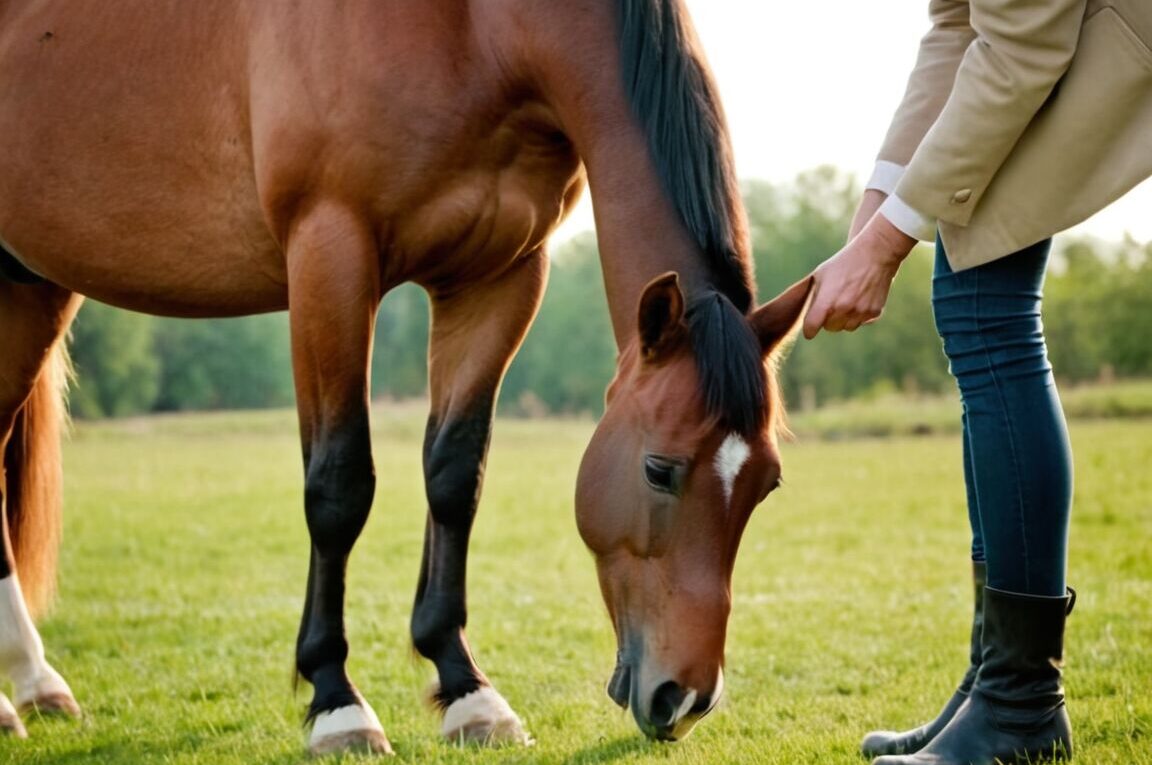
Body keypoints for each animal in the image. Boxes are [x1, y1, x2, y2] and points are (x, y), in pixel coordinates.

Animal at [0, 0, 811, 753]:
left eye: (768, 485)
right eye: (658, 469)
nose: (685, 697)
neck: (475, 31)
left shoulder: (498, 278)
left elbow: (455, 476)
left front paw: (467, 690)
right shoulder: (330, 255)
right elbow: (338, 486)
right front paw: (337, 701)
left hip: (31, 289)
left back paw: (34, 683)